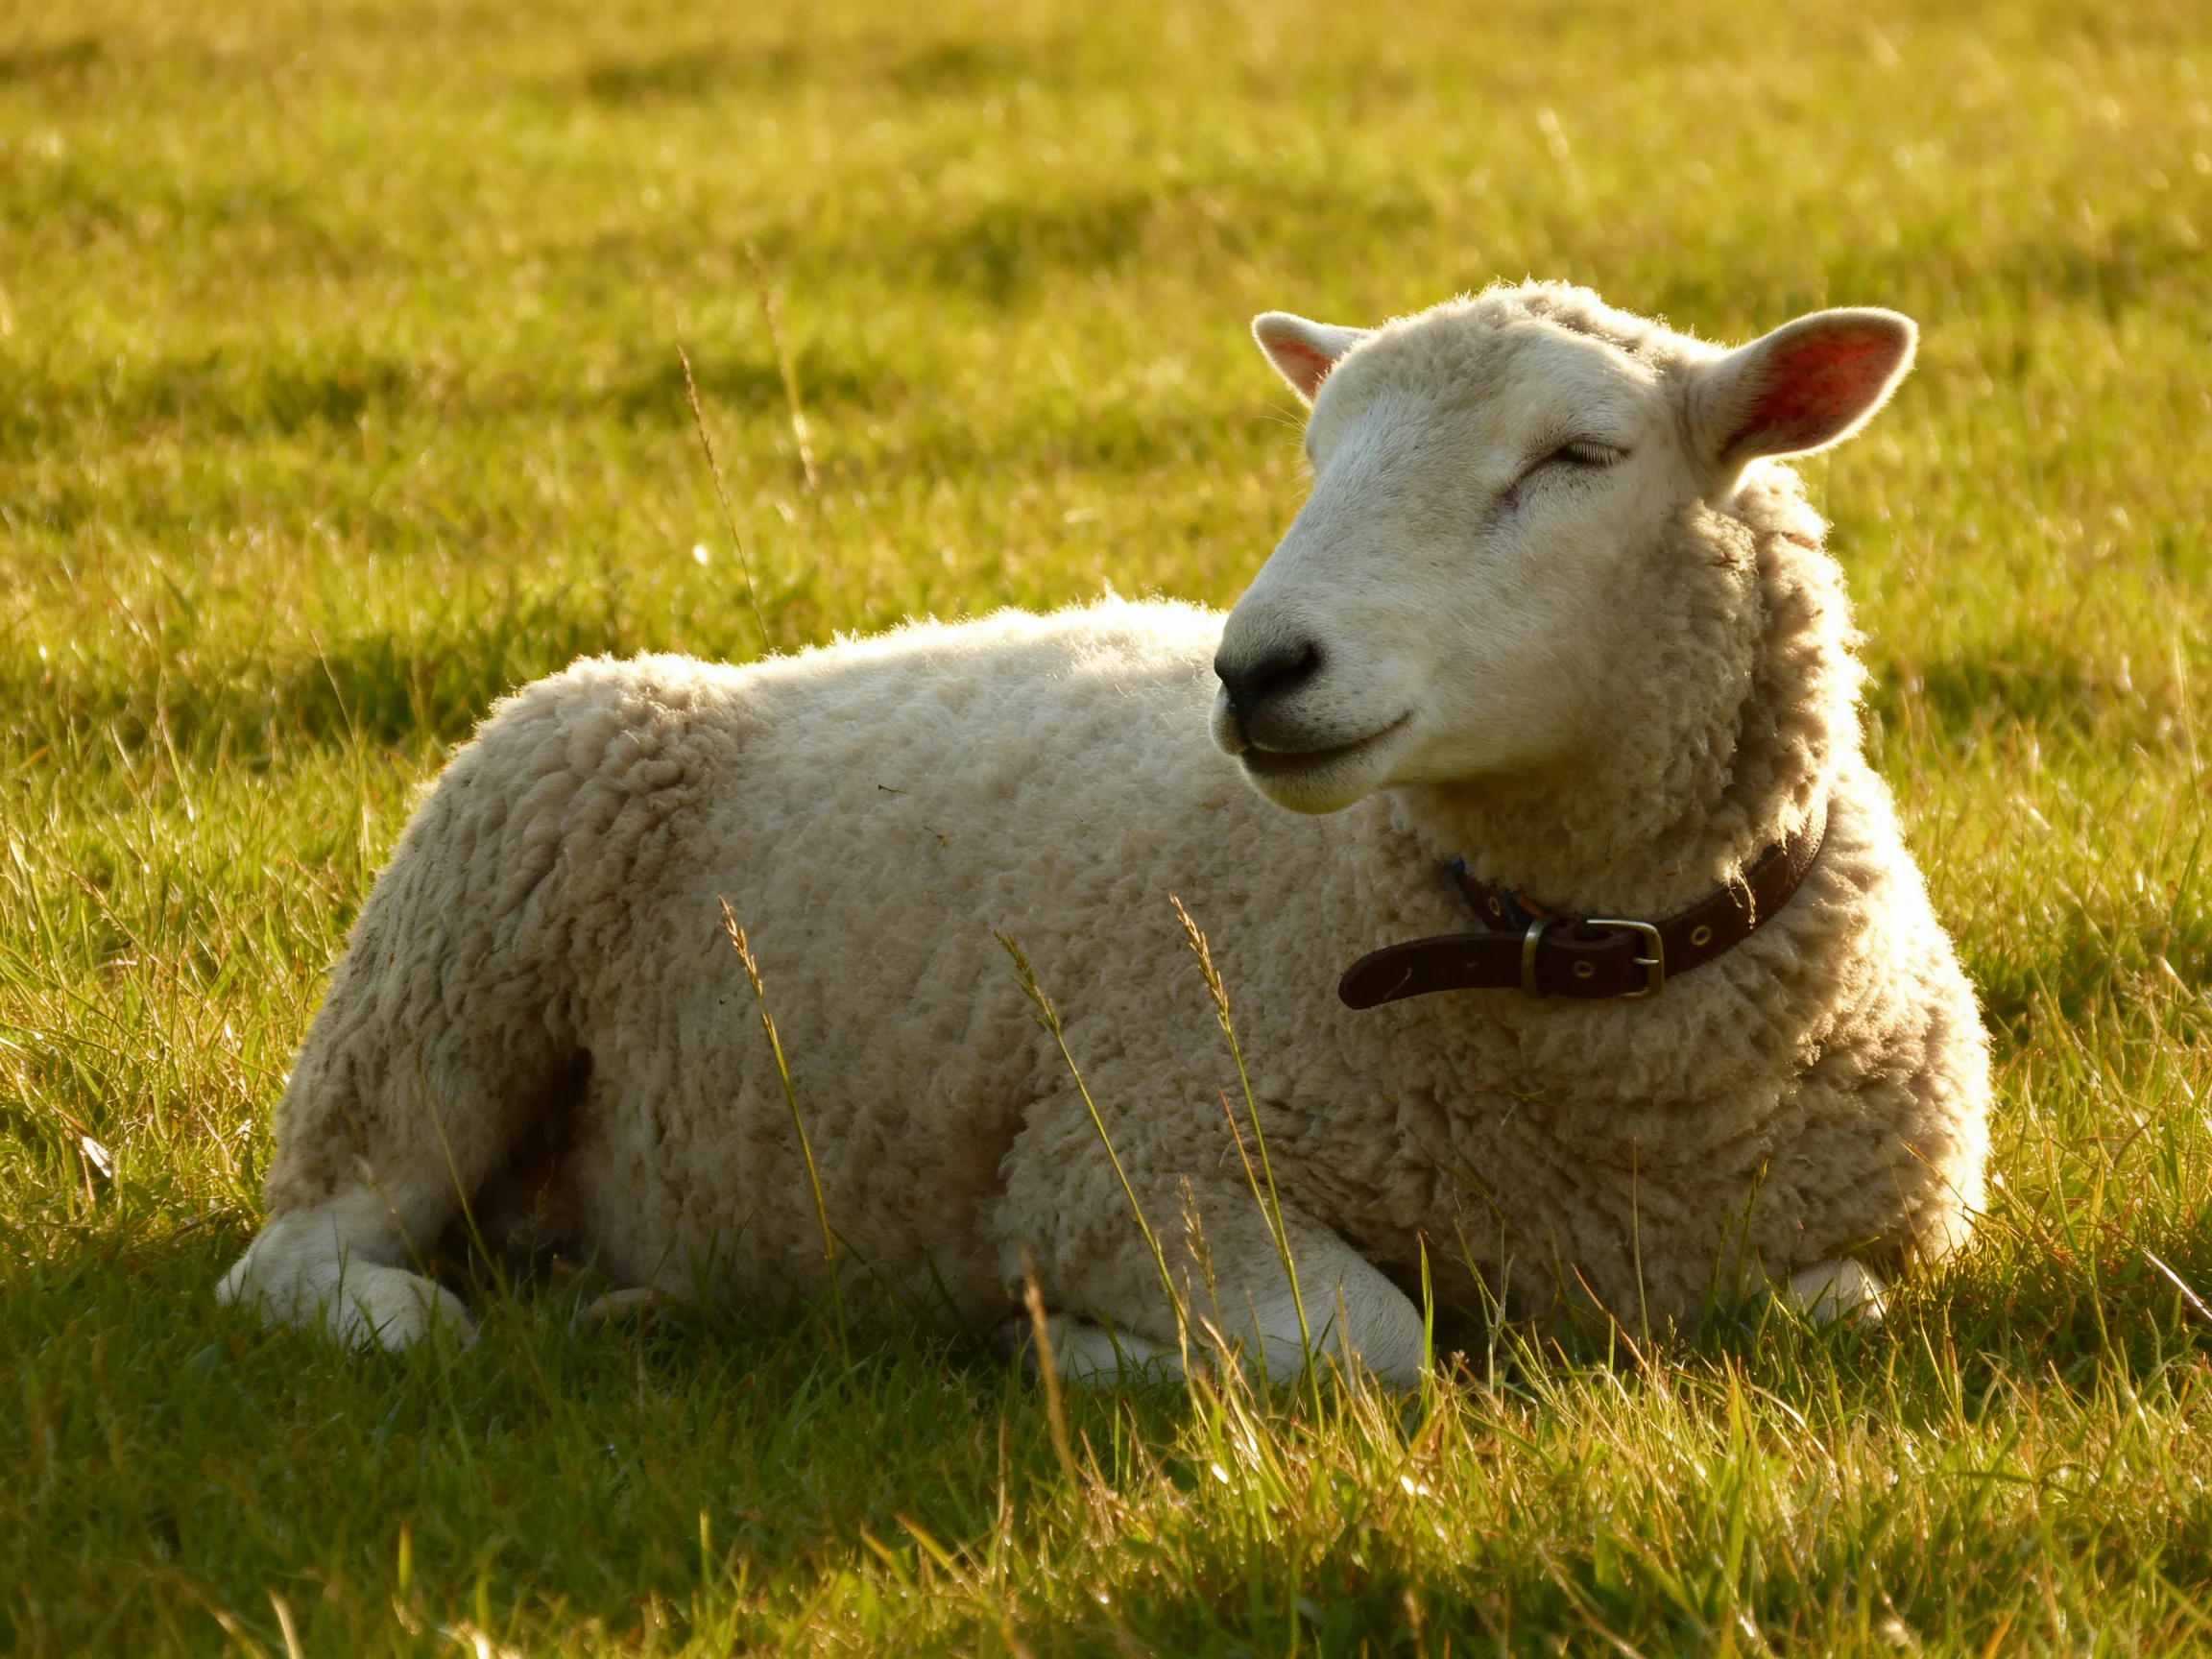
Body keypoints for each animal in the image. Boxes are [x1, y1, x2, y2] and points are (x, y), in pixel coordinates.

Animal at [219, 281, 1991, 1388]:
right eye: (1313, 454)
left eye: (1579, 455)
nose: (1256, 669)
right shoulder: (1120, 1165)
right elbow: (1365, 1348)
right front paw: (1053, 1347)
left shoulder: (1869, 1242)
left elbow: (1825, 1310)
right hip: (445, 984)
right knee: (293, 1254)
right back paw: (414, 1325)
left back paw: (639, 1310)